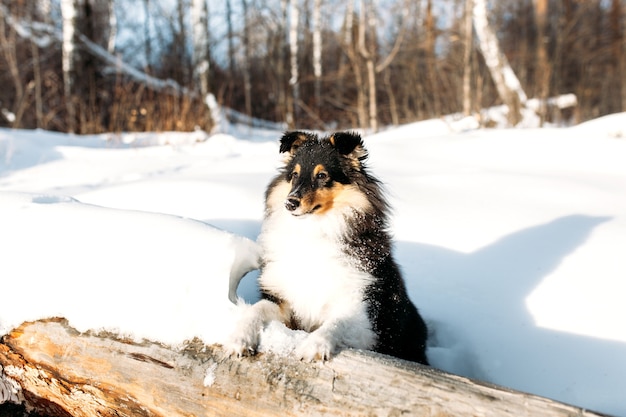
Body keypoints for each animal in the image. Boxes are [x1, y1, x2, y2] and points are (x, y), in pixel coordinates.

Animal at [225, 131, 428, 364]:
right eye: (294, 175)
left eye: (322, 175)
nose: (290, 203)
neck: (314, 231)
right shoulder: (284, 303)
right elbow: (254, 310)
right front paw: (238, 338)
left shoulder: (363, 315)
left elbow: (337, 322)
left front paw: (314, 345)